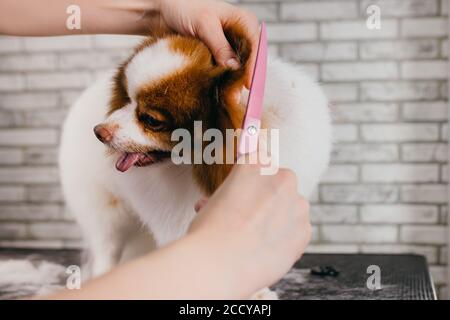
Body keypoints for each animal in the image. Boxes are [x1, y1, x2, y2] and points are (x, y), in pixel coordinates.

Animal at [59, 23, 332, 298]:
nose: (99, 131)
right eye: (127, 99)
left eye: (151, 119)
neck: (194, 170)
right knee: (106, 249)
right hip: (106, 211)